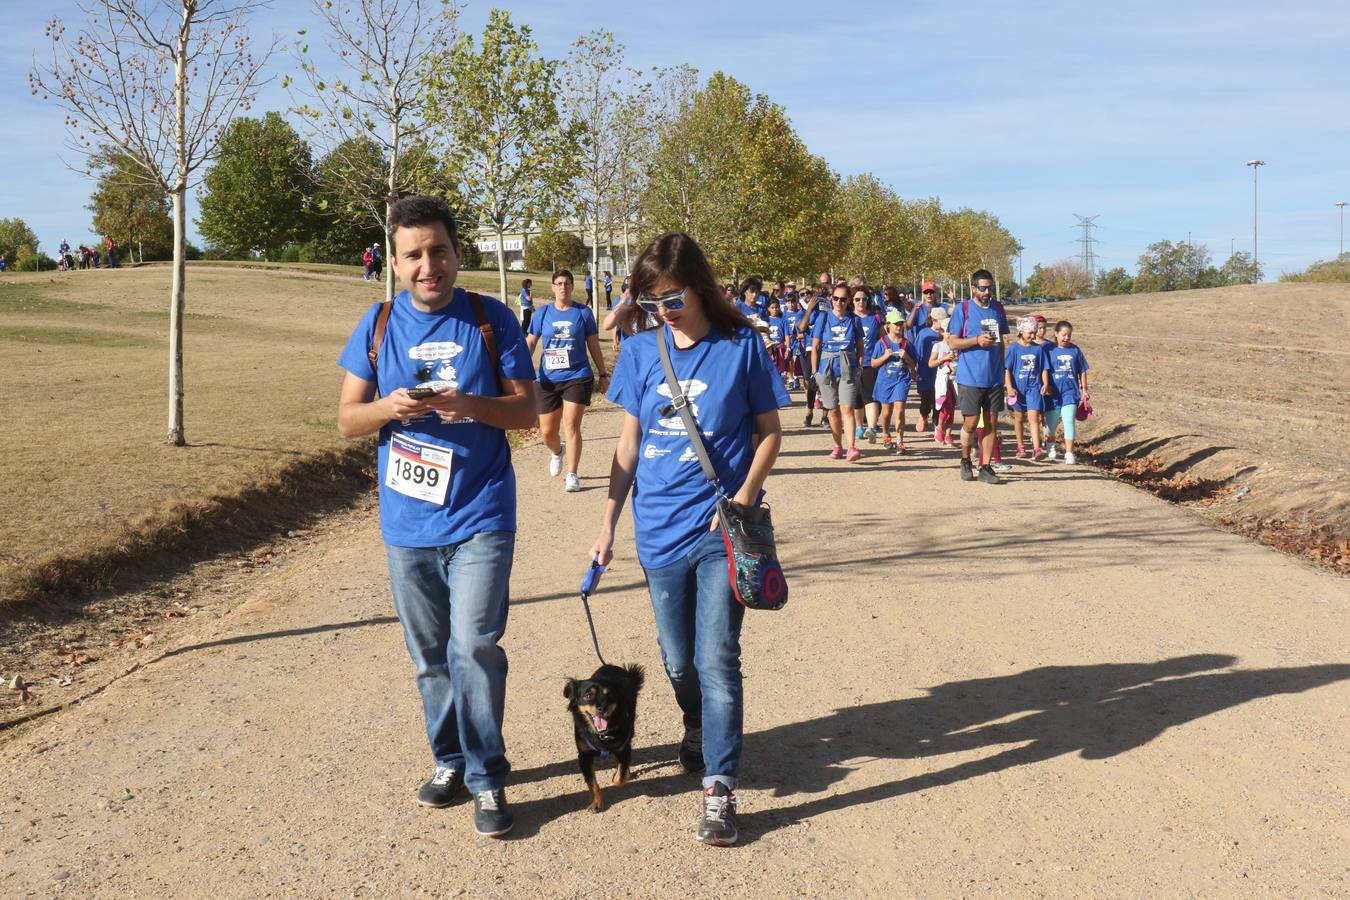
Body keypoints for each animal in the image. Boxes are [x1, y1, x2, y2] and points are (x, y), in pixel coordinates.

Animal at [558, 666, 642, 814]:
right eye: (588, 695)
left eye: (610, 695)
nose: (602, 708)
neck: (601, 735)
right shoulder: (584, 756)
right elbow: (592, 783)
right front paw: (596, 803)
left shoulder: (624, 748)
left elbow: (619, 778)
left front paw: (618, 776)